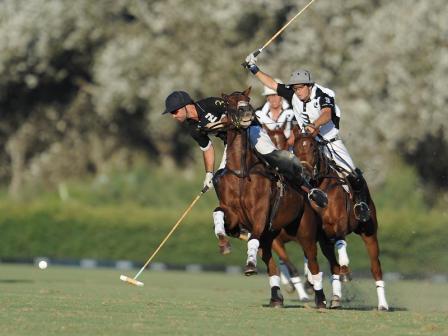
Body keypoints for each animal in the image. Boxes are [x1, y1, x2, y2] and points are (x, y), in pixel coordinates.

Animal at [214, 88, 326, 308]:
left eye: (247, 100)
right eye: (229, 103)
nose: (247, 112)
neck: (241, 173)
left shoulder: (260, 215)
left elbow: (253, 239)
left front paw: (250, 264)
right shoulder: (233, 214)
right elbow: (218, 213)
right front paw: (223, 243)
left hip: (305, 232)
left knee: (313, 263)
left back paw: (320, 299)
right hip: (273, 236)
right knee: (271, 262)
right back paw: (276, 297)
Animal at [294, 128, 388, 310]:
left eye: (313, 149)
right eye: (294, 150)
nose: (304, 173)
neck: (321, 190)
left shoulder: (340, 224)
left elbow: (341, 244)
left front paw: (346, 270)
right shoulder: (321, 235)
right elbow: (332, 264)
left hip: (369, 233)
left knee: (375, 267)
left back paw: (383, 305)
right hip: (326, 241)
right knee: (334, 266)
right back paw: (336, 297)